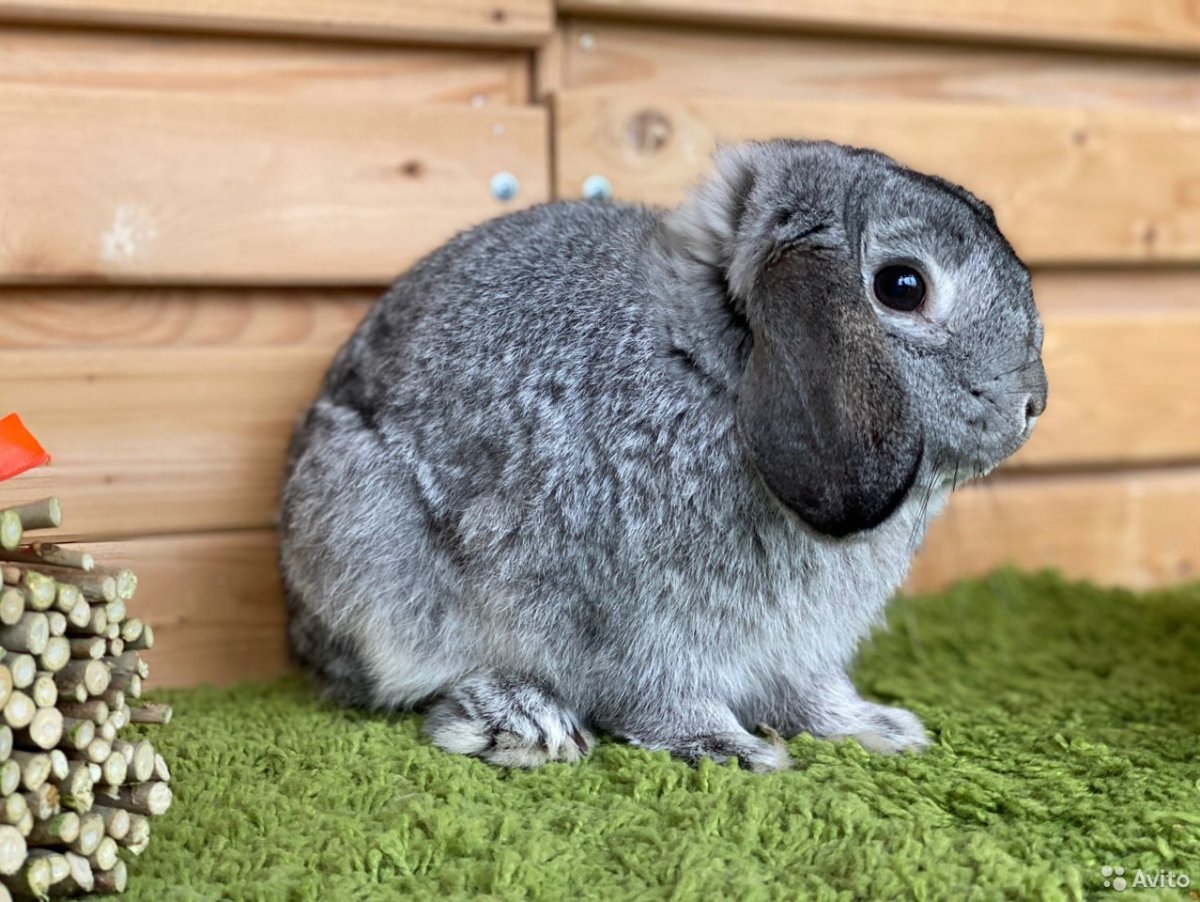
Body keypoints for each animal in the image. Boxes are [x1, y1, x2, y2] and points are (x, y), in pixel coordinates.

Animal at [278, 139, 1047, 772]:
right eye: (902, 287)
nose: (1034, 403)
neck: (712, 368)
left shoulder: (798, 648)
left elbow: (812, 696)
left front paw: (878, 728)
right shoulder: (642, 625)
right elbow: (664, 697)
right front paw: (732, 751)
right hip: (369, 548)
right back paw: (526, 725)